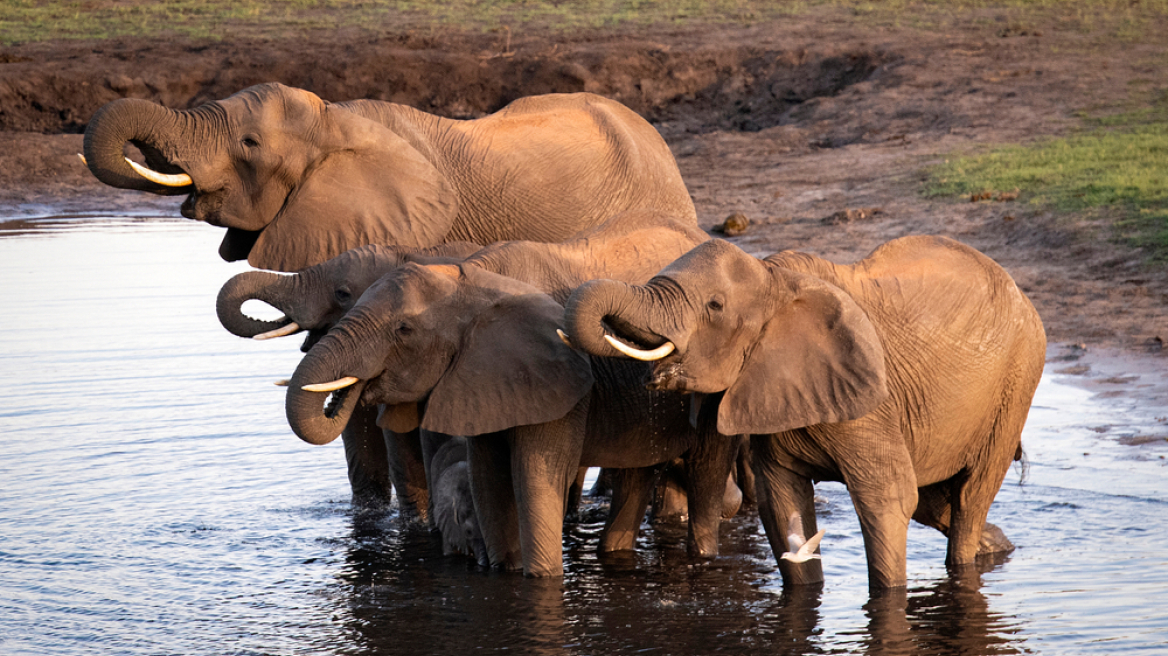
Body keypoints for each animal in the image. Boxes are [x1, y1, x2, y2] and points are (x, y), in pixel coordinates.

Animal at [283, 262, 738, 574]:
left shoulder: (558, 395)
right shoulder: (481, 389)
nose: (348, 393)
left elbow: (533, 483)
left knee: (705, 470)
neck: (477, 295)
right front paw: (506, 570)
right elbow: (490, 485)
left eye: (404, 330)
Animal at [560, 233, 1046, 588]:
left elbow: (887, 497)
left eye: (714, 306)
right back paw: (998, 547)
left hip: (1017, 380)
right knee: (936, 503)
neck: (774, 280)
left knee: (969, 497)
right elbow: (782, 502)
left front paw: (888, 600)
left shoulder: (870, 399)